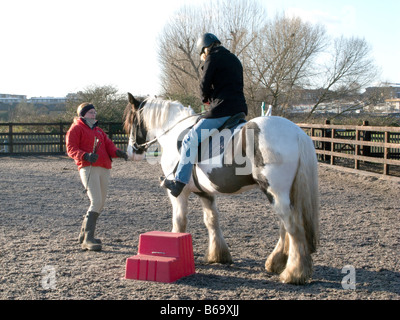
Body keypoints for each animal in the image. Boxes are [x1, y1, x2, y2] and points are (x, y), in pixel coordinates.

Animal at [123, 93, 320, 284]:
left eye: (132, 122)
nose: (131, 152)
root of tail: (297, 133)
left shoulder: (178, 194)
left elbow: (179, 221)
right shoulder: (205, 193)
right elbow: (211, 220)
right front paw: (218, 255)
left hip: (276, 192)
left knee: (292, 226)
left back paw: (294, 273)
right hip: (283, 194)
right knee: (284, 226)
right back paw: (276, 262)